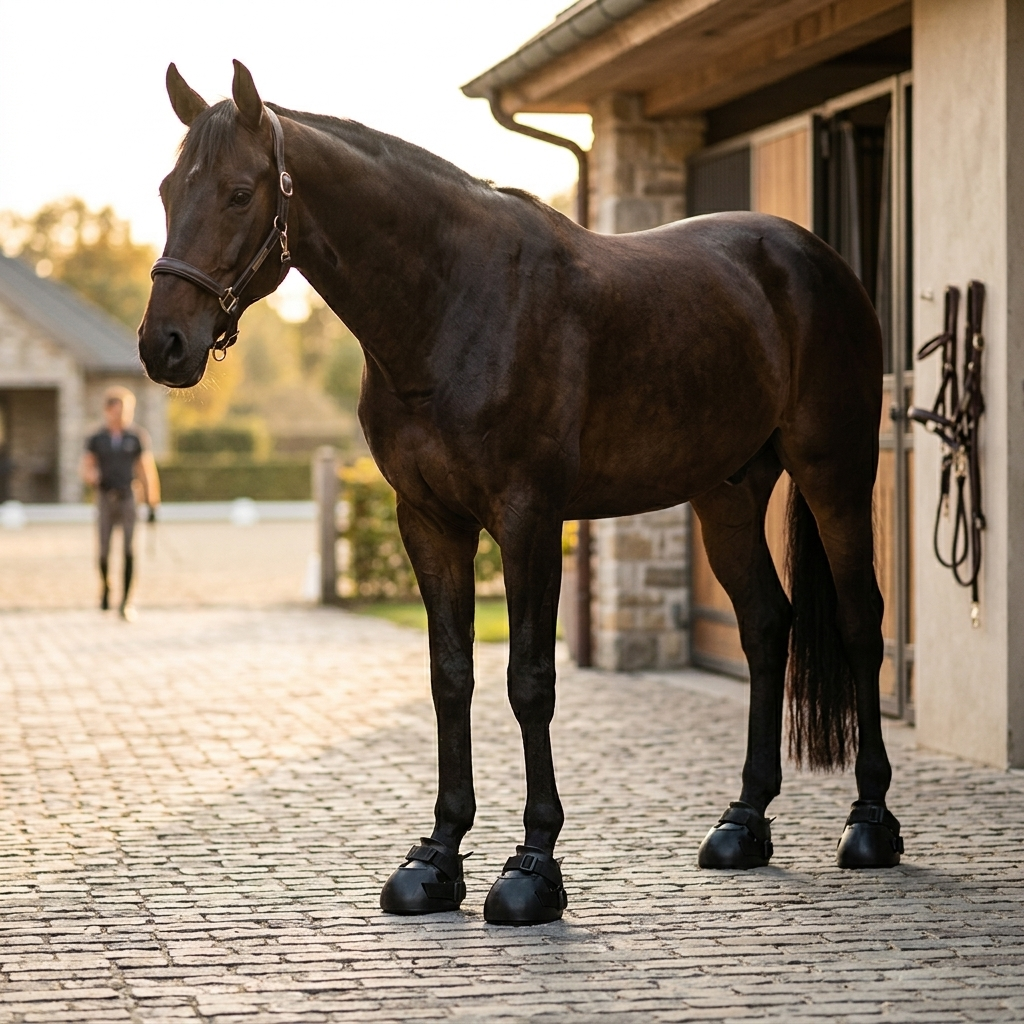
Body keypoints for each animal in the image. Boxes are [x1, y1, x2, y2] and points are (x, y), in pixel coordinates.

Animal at [139, 61, 904, 926]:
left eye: (239, 193)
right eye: (167, 191)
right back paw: (744, 823)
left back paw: (870, 823)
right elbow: (451, 675)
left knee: (860, 621)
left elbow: (529, 682)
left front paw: (532, 869)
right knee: (766, 626)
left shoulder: (531, 520)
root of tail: (814, 259)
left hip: (836, 472)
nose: (164, 345)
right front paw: (435, 860)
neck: (452, 305)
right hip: (729, 493)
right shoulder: (429, 521)